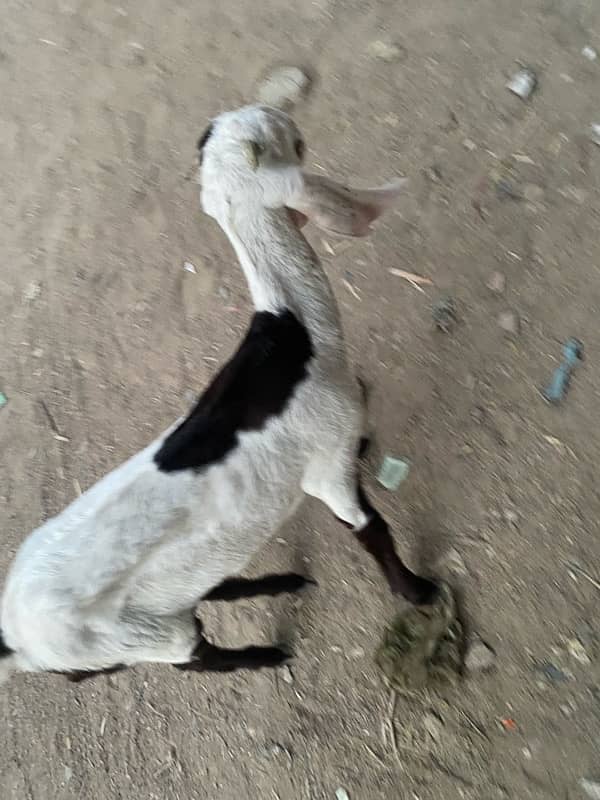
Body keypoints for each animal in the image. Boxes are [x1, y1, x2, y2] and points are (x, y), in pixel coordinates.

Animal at [1, 103, 436, 684]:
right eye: (276, 140)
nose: (282, 113)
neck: (297, 341)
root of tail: (15, 638)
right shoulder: (327, 469)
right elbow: (371, 529)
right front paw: (418, 592)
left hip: (158, 605)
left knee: (205, 593)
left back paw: (281, 583)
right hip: (137, 635)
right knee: (195, 657)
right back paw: (265, 654)